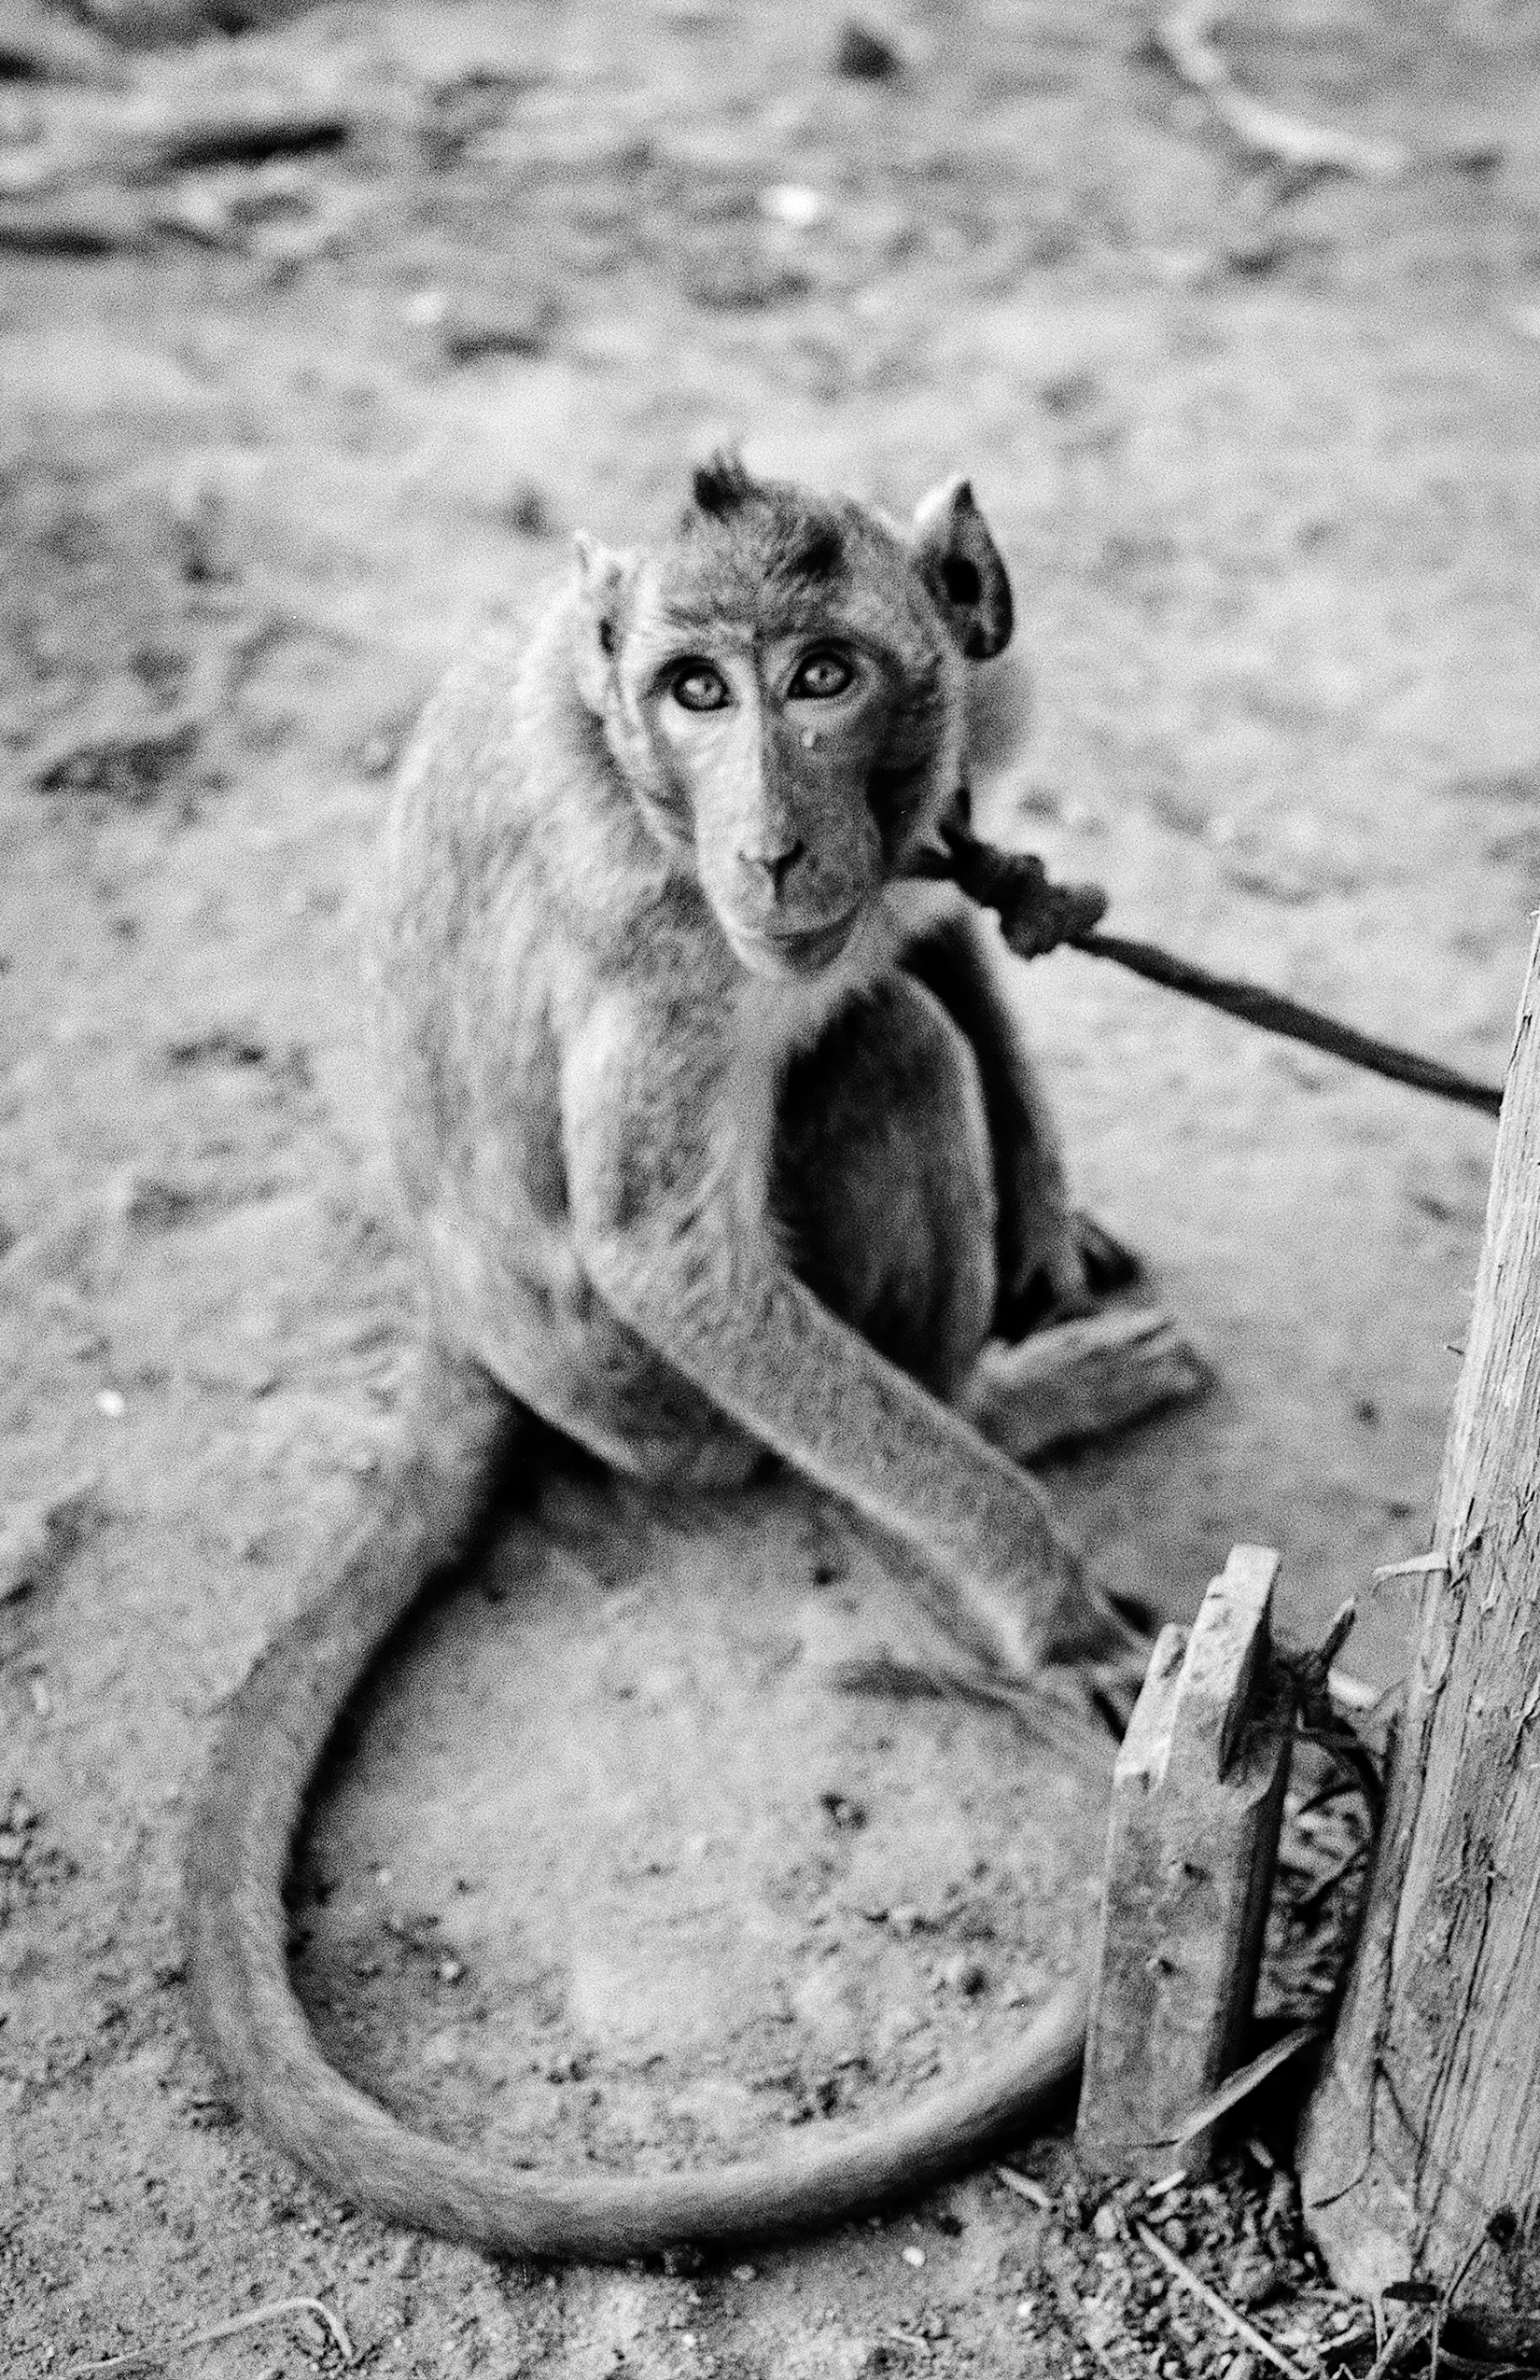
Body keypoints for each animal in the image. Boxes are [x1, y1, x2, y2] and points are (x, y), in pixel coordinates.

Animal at [185, 456, 1198, 2261]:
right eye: (697, 690)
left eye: (823, 675)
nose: (774, 843)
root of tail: (452, 1317)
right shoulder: (664, 934)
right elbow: (673, 1248)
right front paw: (1043, 1589)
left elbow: (936, 927)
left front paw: (1050, 1202)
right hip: (664, 1414)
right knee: (885, 1048)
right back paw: (993, 1431)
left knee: (897, 1003)